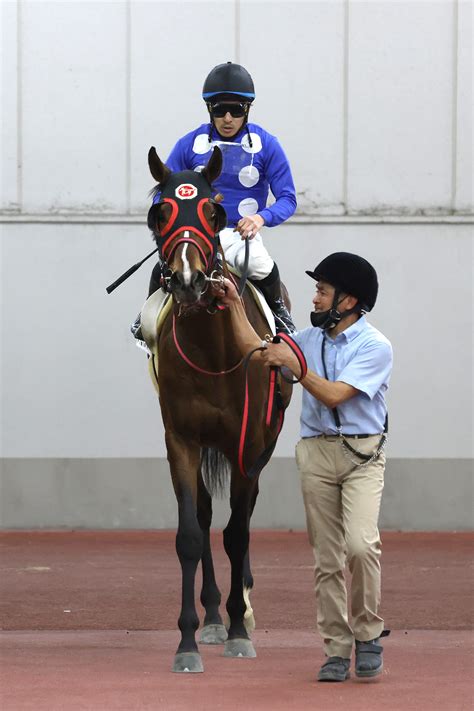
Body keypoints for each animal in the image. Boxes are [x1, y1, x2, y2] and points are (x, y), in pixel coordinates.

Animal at [144, 146, 292, 672]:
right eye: (161, 212)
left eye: (212, 211)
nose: (189, 282)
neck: (212, 349)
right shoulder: (181, 439)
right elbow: (192, 532)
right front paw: (190, 639)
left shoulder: (248, 441)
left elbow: (238, 534)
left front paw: (238, 629)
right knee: (209, 515)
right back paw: (211, 617)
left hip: (261, 445)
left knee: (242, 517)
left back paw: (240, 608)